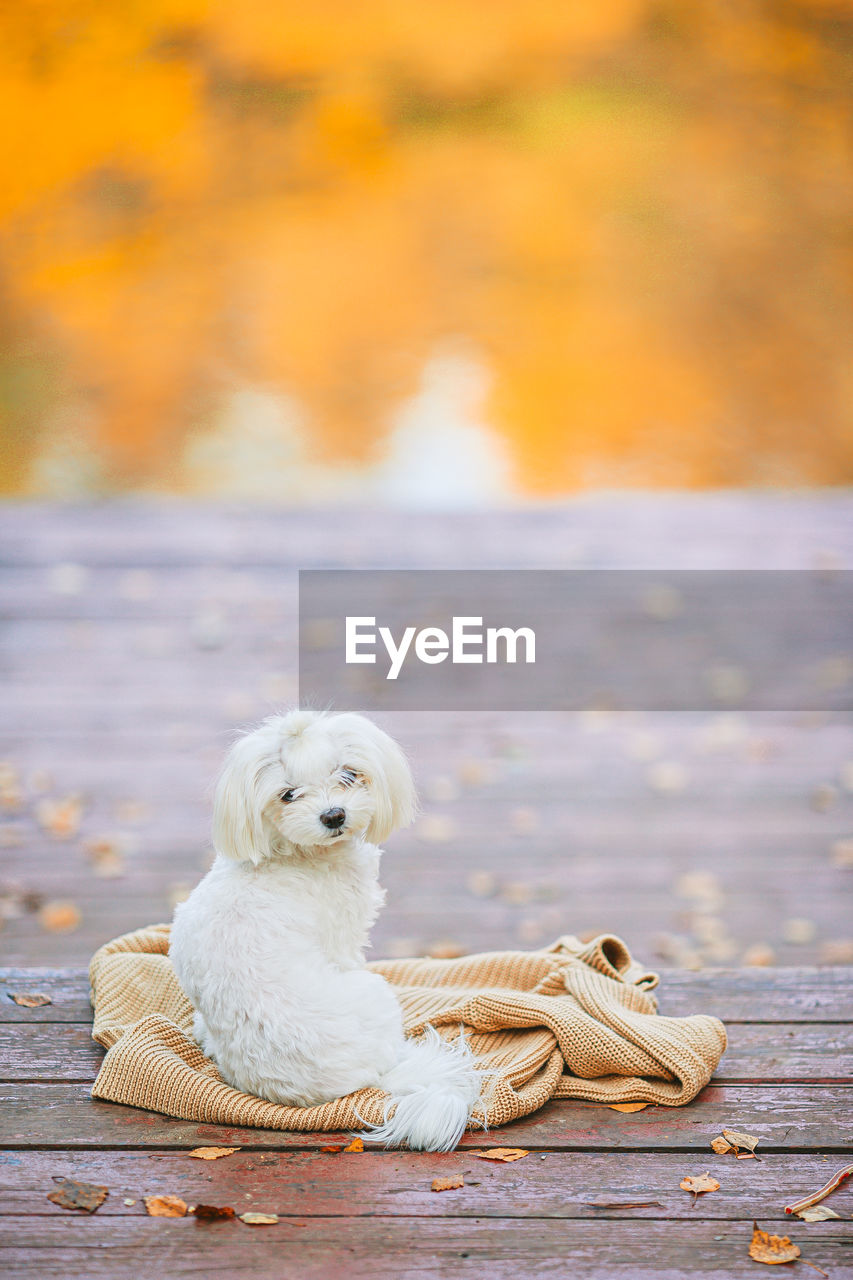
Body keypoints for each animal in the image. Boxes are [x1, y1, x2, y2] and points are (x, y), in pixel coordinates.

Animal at [169, 711, 481, 1152]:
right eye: (288, 795)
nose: (334, 815)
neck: (291, 853)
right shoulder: (345, 939)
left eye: (349, 775)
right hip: (375, 993)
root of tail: (372, 1079)